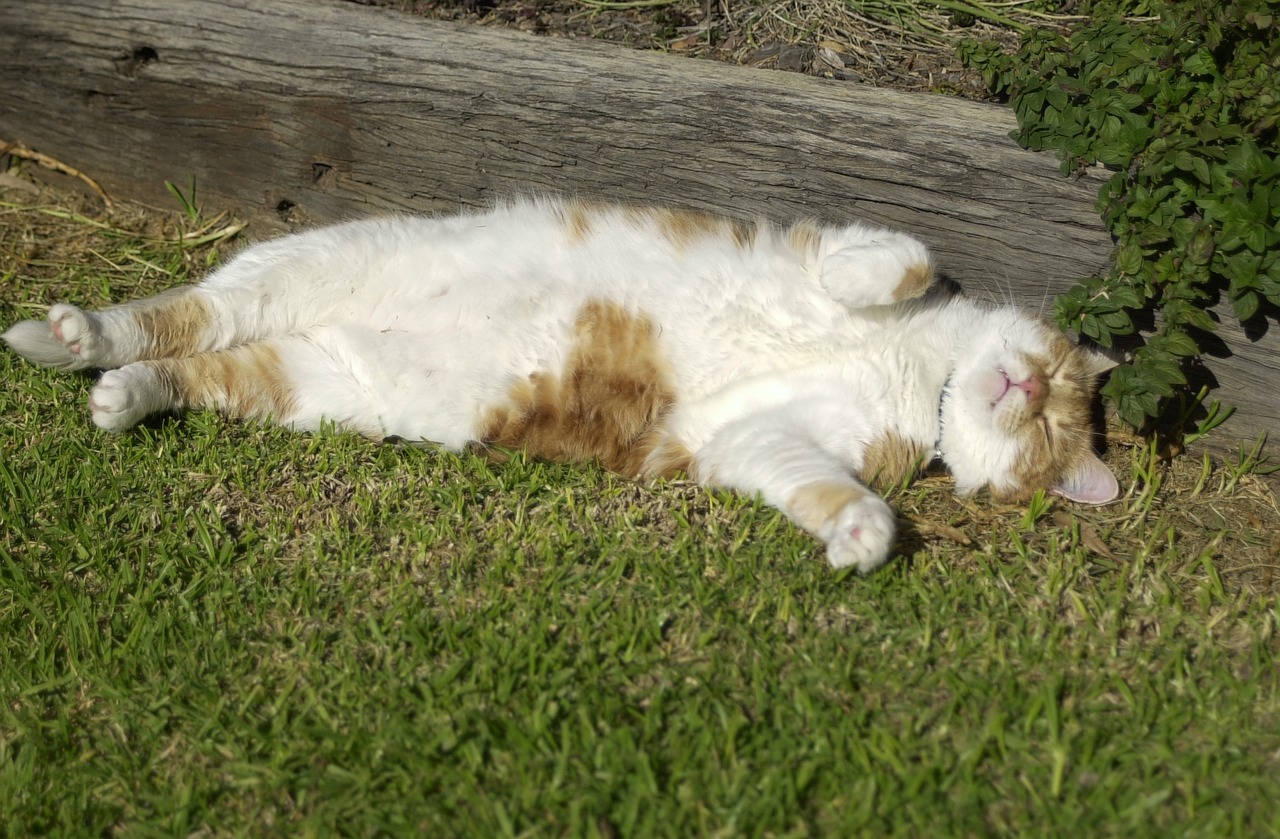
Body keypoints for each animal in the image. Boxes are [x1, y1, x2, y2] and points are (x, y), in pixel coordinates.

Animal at [2, 197, 1121, 573]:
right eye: (1061, 385)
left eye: (1054, 435)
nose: (1028, 389)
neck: (920, 373)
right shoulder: (827, 245)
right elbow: (906, 261)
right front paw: (876, 282)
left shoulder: (755, 442)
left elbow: (820, 485)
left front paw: (861, 536)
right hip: (306, 264)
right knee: (179, 311)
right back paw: (69, 334)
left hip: (305, 383)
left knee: (192, 364)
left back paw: (119, 393)